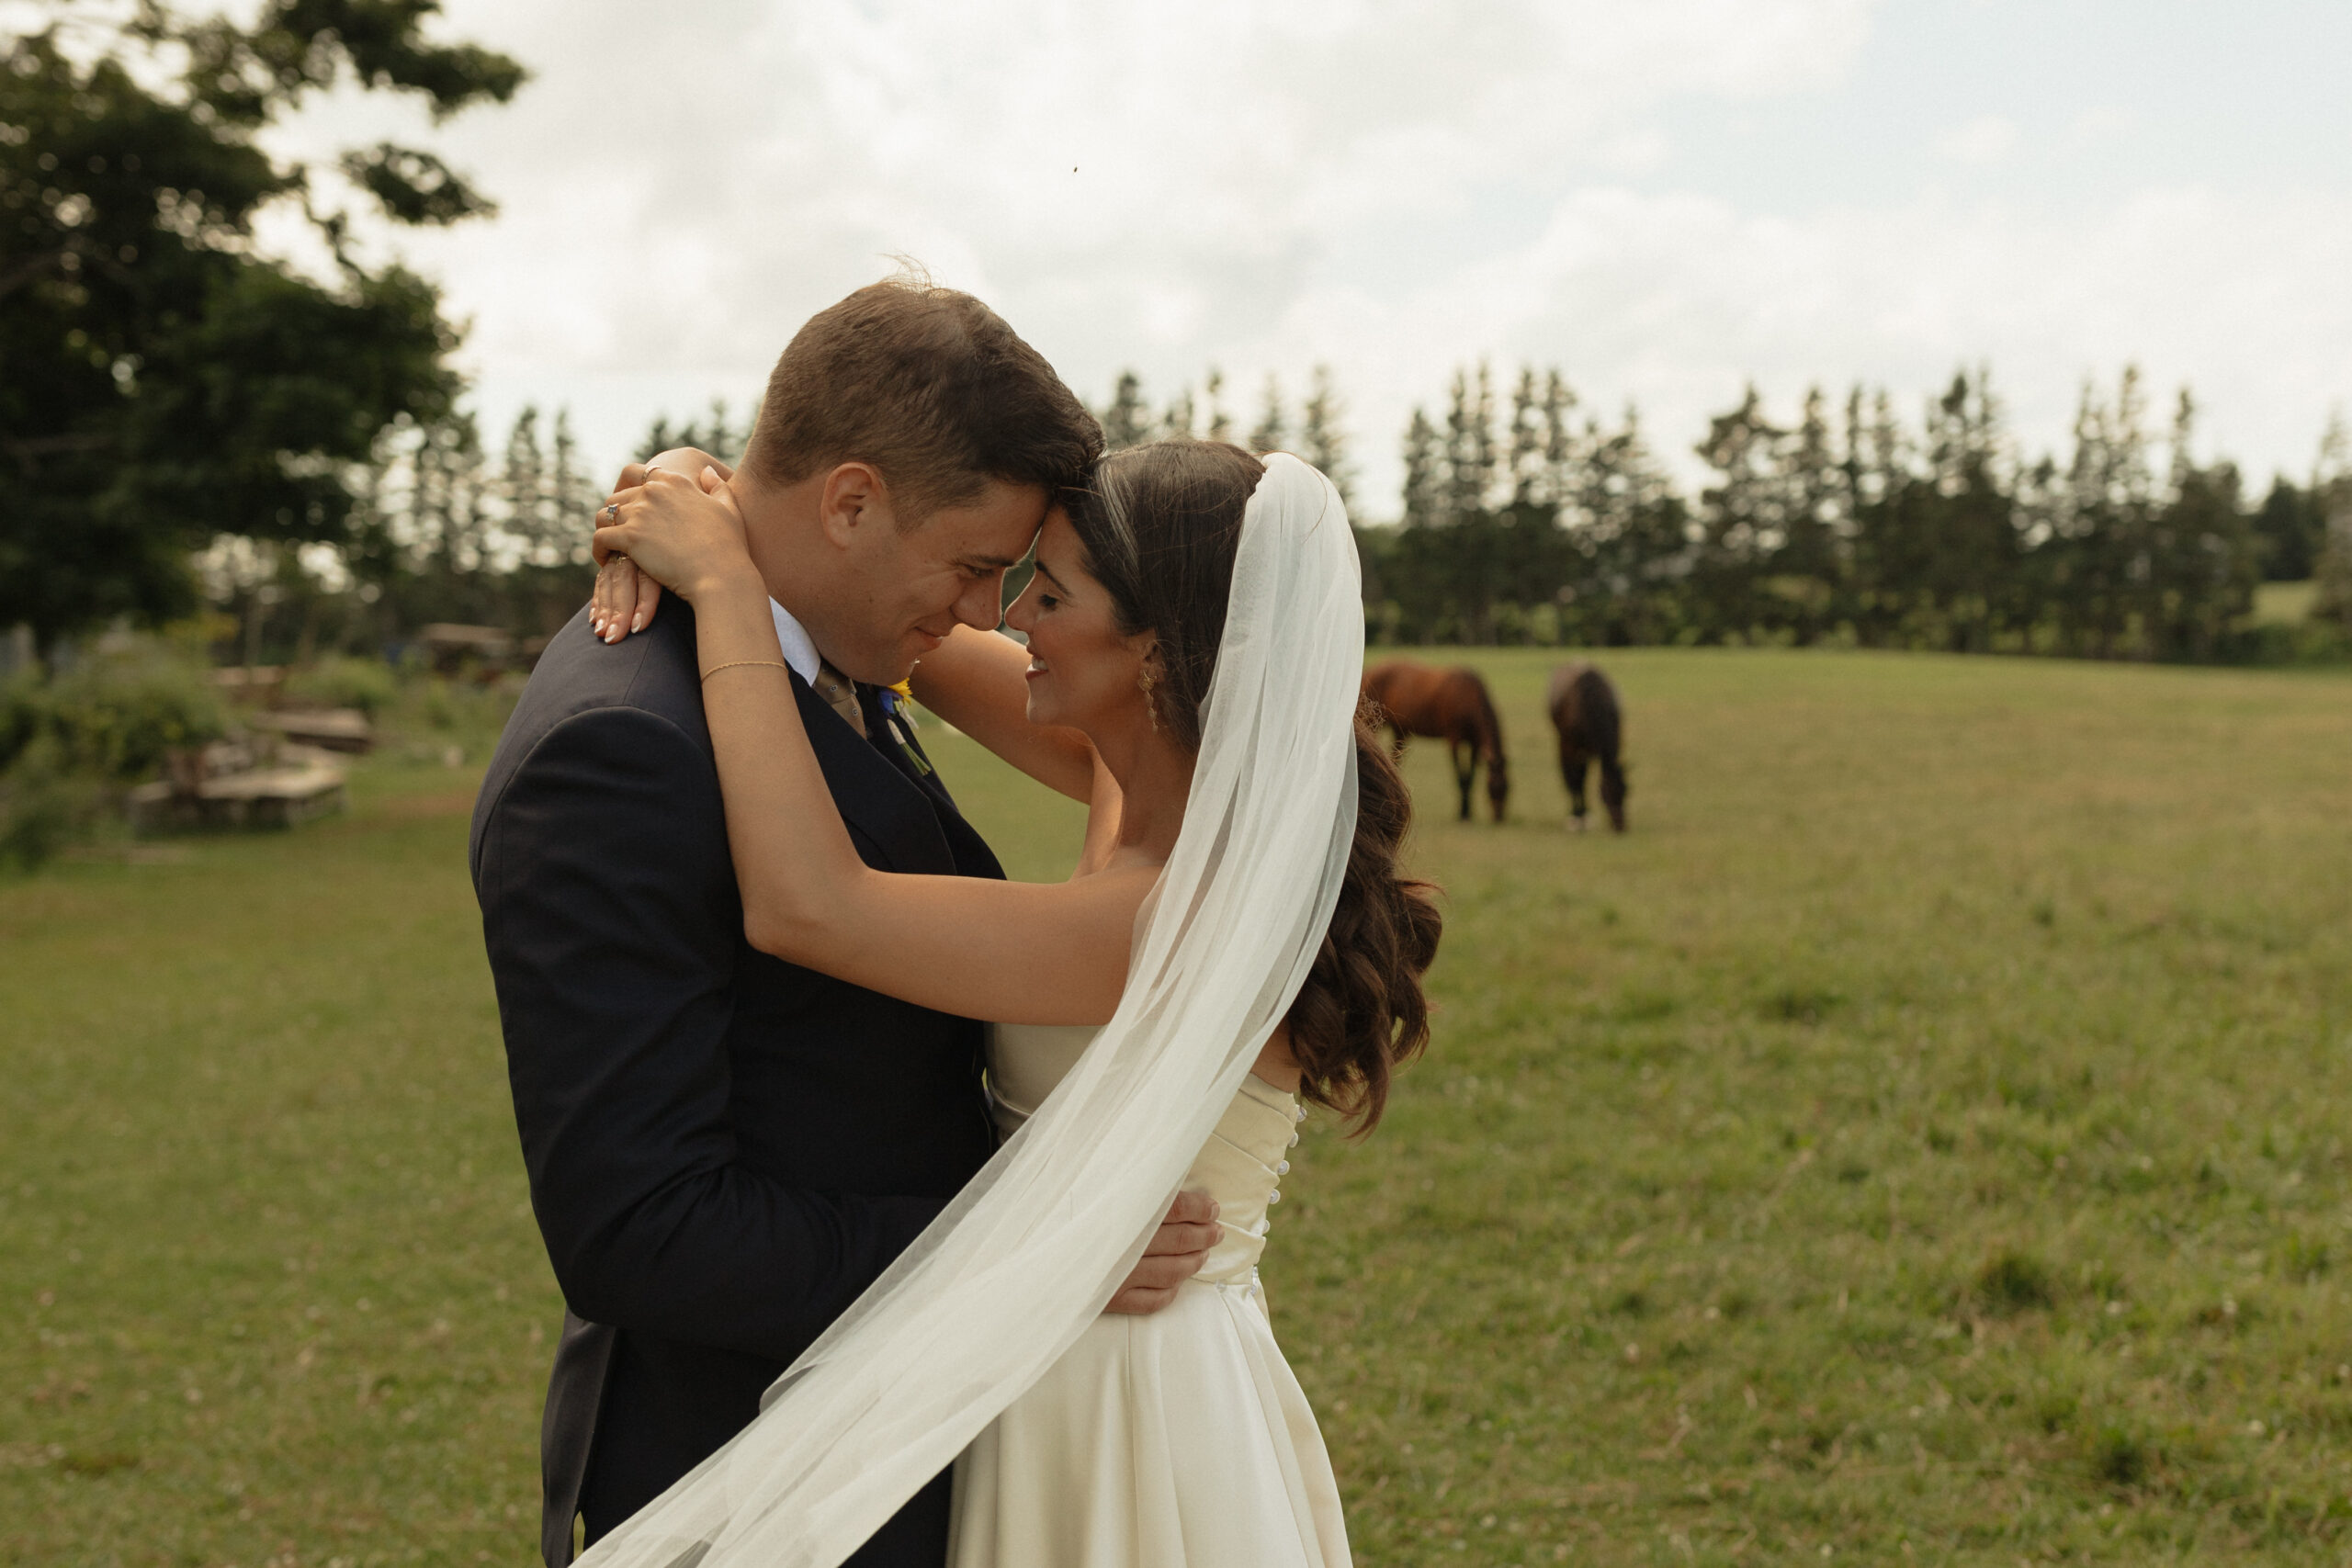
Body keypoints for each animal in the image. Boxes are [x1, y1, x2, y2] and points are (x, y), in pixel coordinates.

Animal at [1363, 658, 1505, 822]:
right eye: (1493, 786)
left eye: (1508, 785)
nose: (1499, 817)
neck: (1468, 696)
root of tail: (1369, 672)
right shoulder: (1454, 741)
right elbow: (1460, 777)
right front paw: (1462, 813)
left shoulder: (1474, 744)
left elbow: (1470, 777)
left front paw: (1468, 812)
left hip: (1399, 731)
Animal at [1552, 662, 1627, 831]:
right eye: (1606, 794)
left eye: (1626, 790)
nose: (1620, 826)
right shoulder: (1572, 748)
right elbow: (1576, 780)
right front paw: (1576, 817)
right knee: (1574, 779)